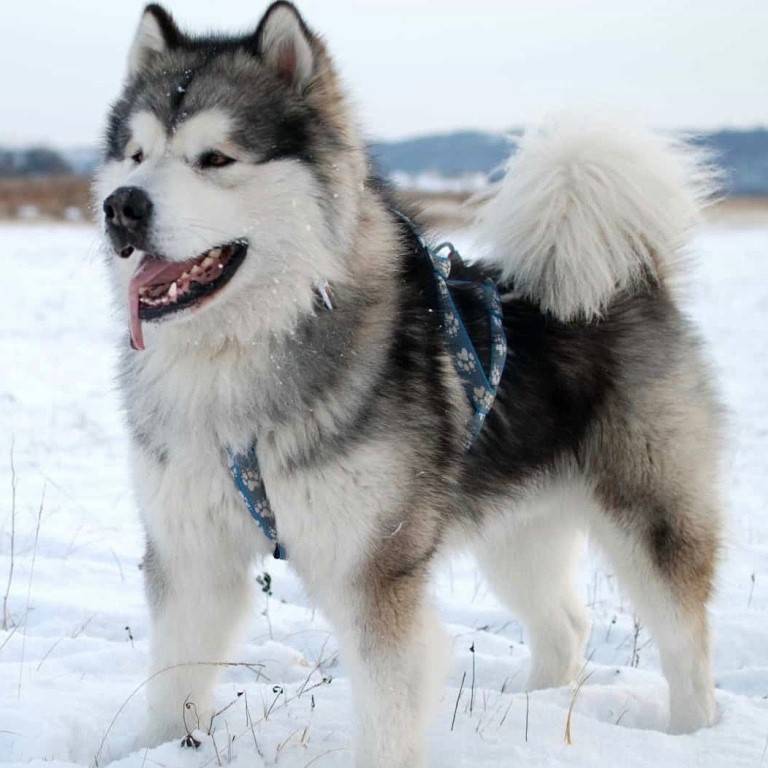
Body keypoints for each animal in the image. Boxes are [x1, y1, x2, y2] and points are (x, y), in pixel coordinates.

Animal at [93, 3, 724, 764]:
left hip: (649, 510)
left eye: (215, 158)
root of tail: (632, 275)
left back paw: (693, 733)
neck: (240, 357)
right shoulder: (190, 552)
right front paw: (156, 747)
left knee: (686, 640)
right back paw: (534, 712)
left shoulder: (375, 569)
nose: (122, 206)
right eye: (135, 154)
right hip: (518, 527)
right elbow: (172, 683)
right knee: (565, 625)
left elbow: (388, 708)